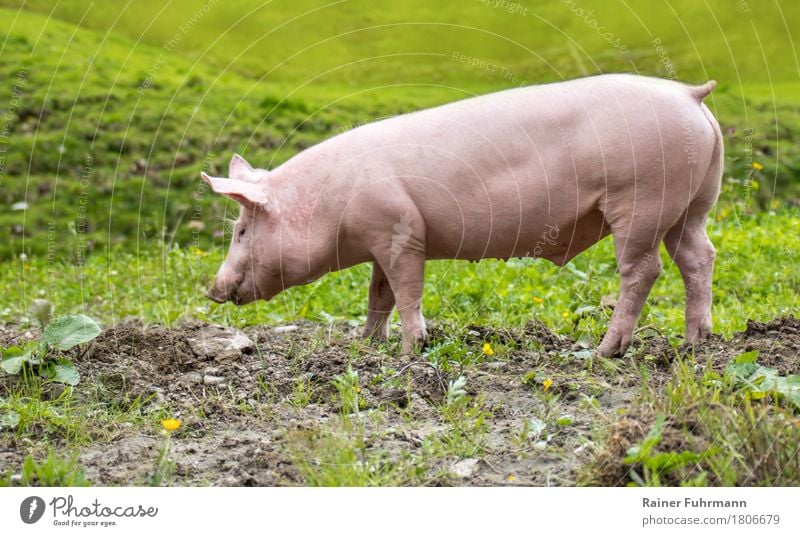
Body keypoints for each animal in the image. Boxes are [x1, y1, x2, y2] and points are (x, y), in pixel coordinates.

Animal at [202, 72, 724, 356]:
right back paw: (695, 342)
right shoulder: (381, 239)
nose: (211, 290)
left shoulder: (400, 230)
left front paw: (411, 348)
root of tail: (690, 95)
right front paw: (365, 345)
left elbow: (406, 292)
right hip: (692, 204)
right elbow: (378, 295)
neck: (329, 203)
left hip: (643, 200)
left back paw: (605, 351)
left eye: (242, 230)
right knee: (700, 257)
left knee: (644, 270)